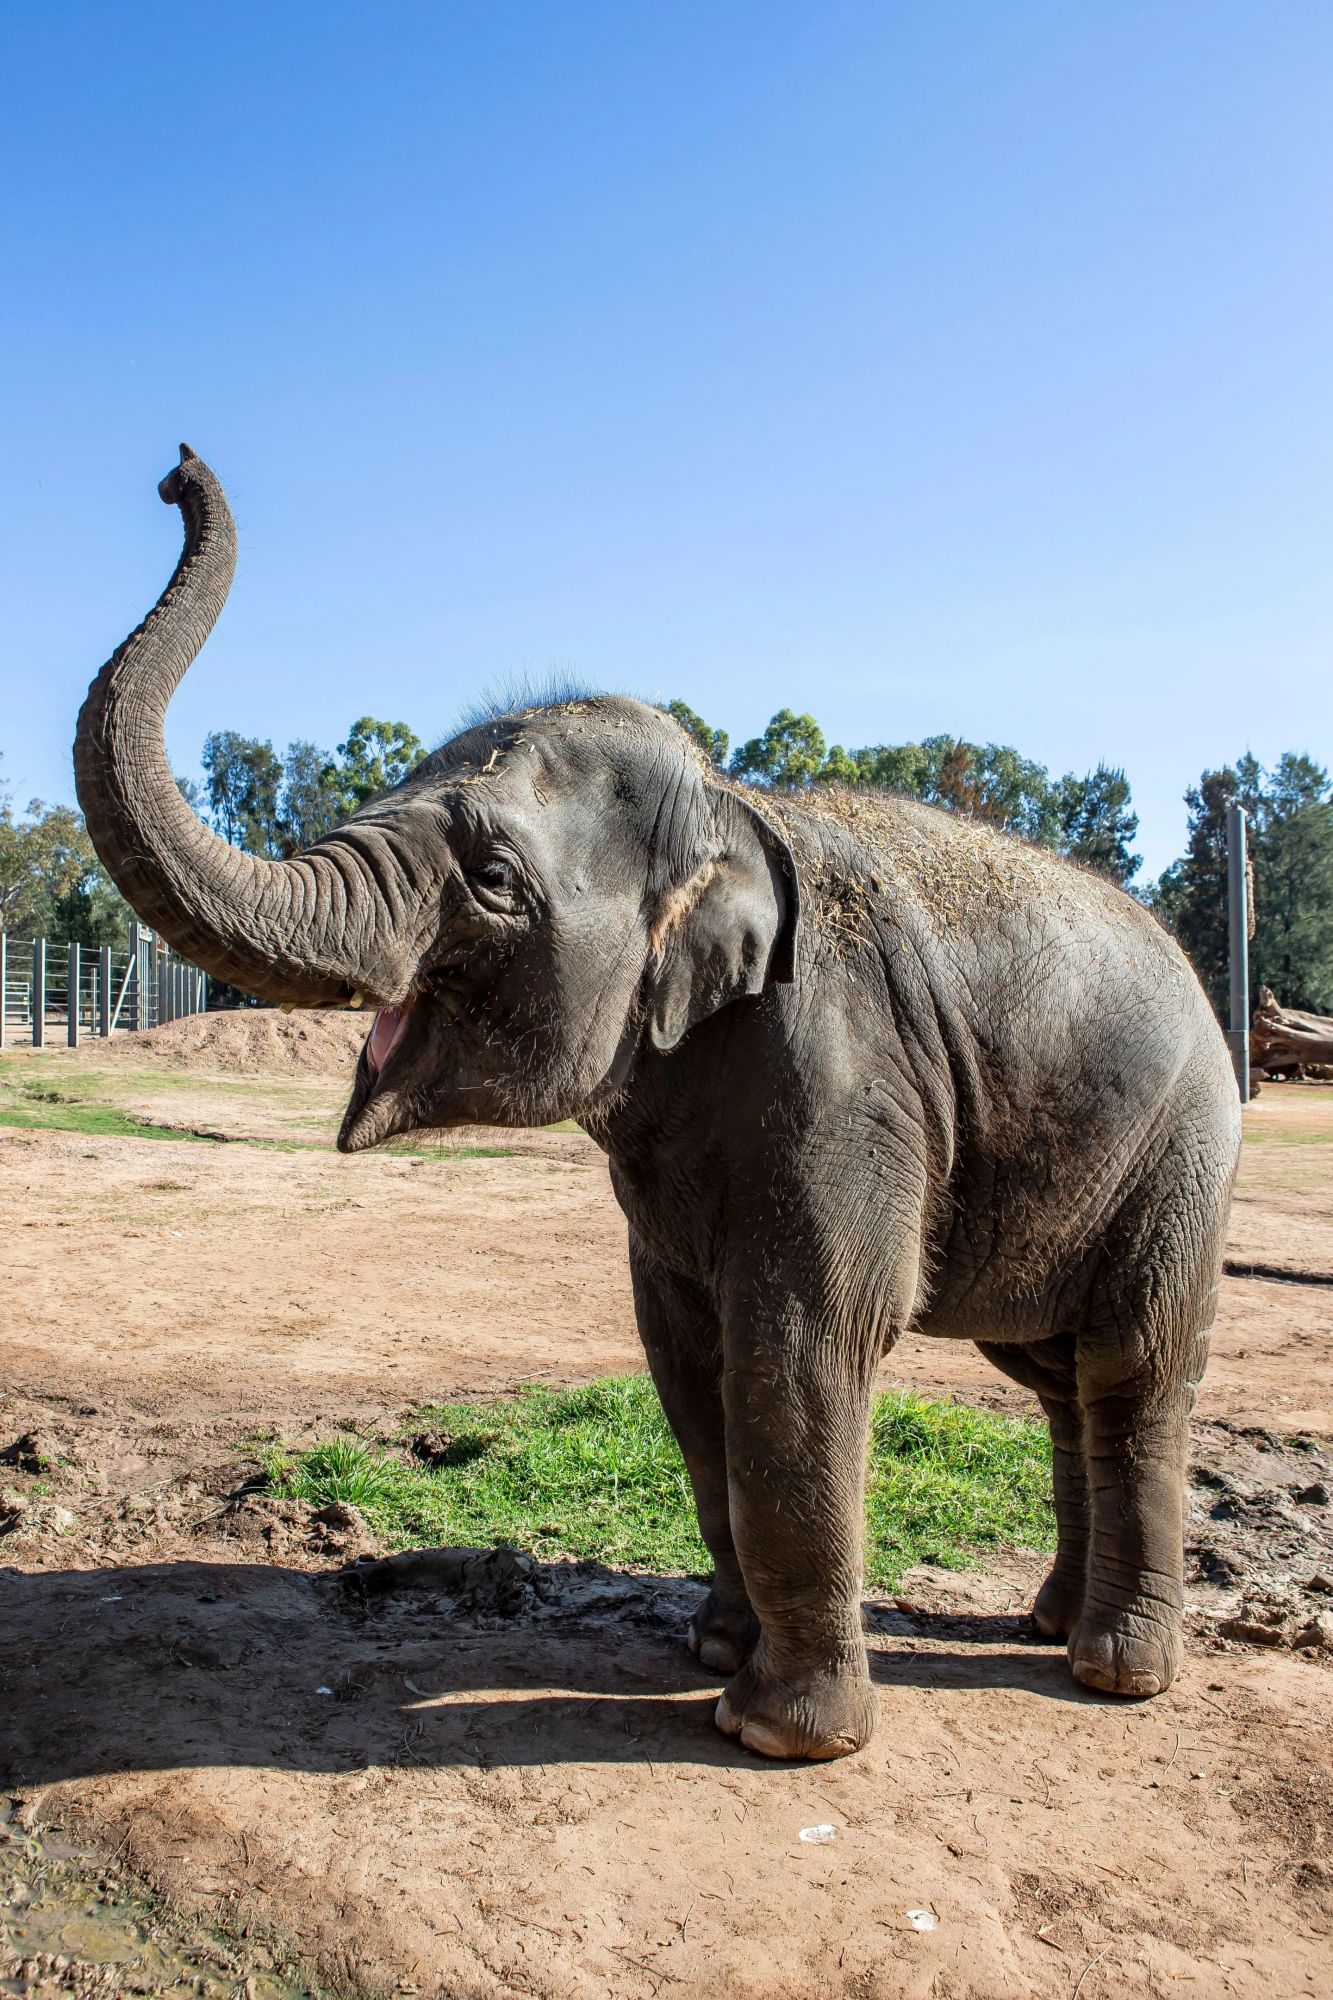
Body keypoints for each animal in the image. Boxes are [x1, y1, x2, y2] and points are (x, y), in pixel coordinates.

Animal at [75, 447, 1242, 1762]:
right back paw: (1048, 1622)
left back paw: (1114, 1669)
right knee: (1054, 1369)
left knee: (1132, 1362)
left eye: (493, 878)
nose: (174, 471)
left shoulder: (848, 1081)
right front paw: (712, 1652)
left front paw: (778, 1734)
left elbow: (799, 1349)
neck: (735, 807)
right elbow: (686, 1358)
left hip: (1182, 1150)